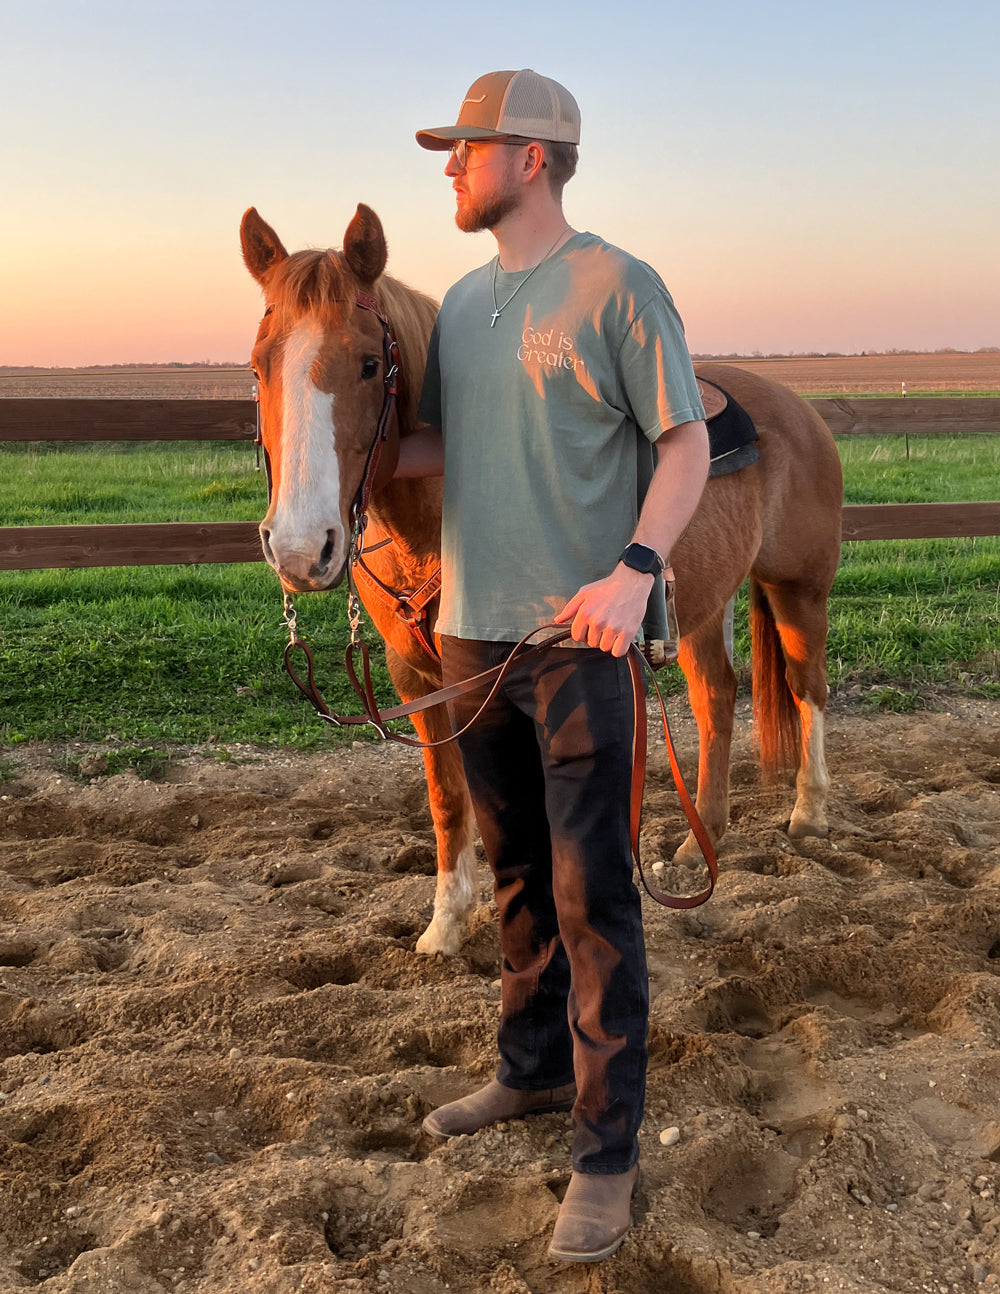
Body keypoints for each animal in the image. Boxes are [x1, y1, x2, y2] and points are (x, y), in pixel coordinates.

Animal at [240, 203, 843, 956]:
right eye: (258, 366)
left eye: (369, 363)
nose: (299, 547)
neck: (438, 524)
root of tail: (796, 407)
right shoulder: (416, 676)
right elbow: (450, 798)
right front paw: (446, 923)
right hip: (703, 607)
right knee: (716, 698)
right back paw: (699, 840)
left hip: (800, 589)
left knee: (808, 688)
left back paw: (809, 814)